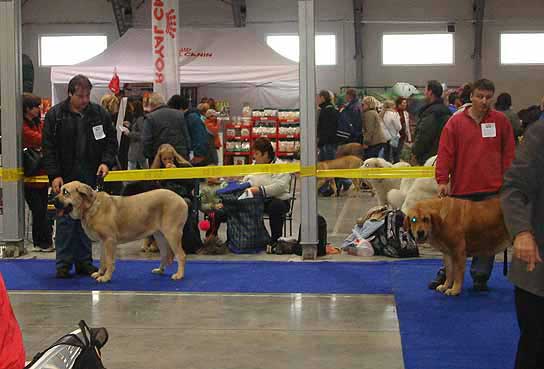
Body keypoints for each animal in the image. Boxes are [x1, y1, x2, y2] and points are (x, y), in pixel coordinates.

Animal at [52, 180, 188, 282]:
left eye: (65, 192)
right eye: (60, 190)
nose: (51, 201)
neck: (90, 206)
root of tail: (181, 199)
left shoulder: (109, 240)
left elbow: (109, 260)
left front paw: (106, 277)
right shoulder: (103, 242)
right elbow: (102, 260)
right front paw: (100, 273)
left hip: (172, 233)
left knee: (181, 255)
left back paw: (179, 275)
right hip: (159, 235)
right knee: (165, 255)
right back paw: (160, 270)